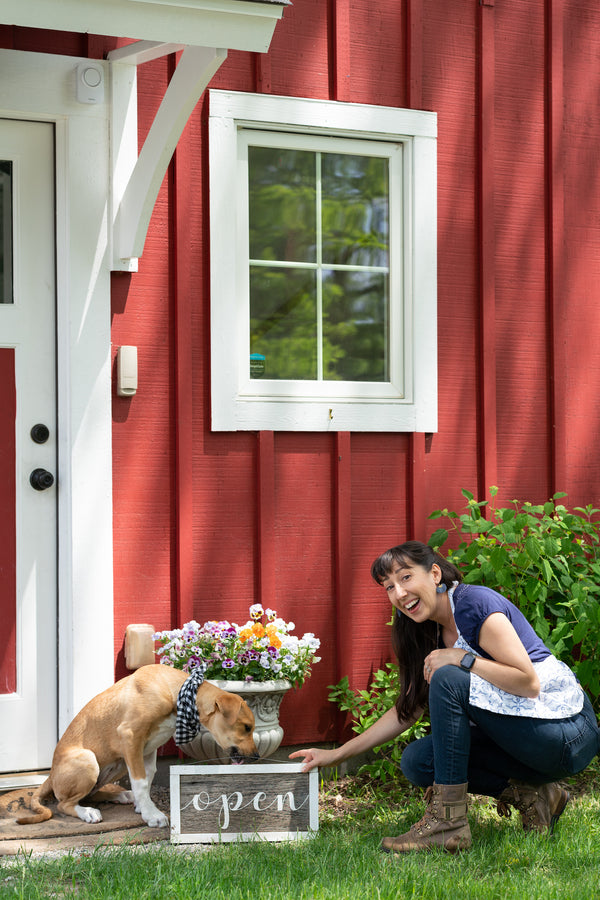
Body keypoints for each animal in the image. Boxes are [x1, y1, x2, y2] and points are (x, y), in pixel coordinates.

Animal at [14, 664, 256, 828]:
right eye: (246, 727)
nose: (256, 756)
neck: (176, 694)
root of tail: (50, 775)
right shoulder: (130, 737)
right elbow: (141, 781)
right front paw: (152, 814)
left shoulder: (146, 749)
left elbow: (147, 778)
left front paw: (143, 807)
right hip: (89, 759)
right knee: (64, 804)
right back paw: (88, 813)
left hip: (118, 763)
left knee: (89, 794)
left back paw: (121, 796)